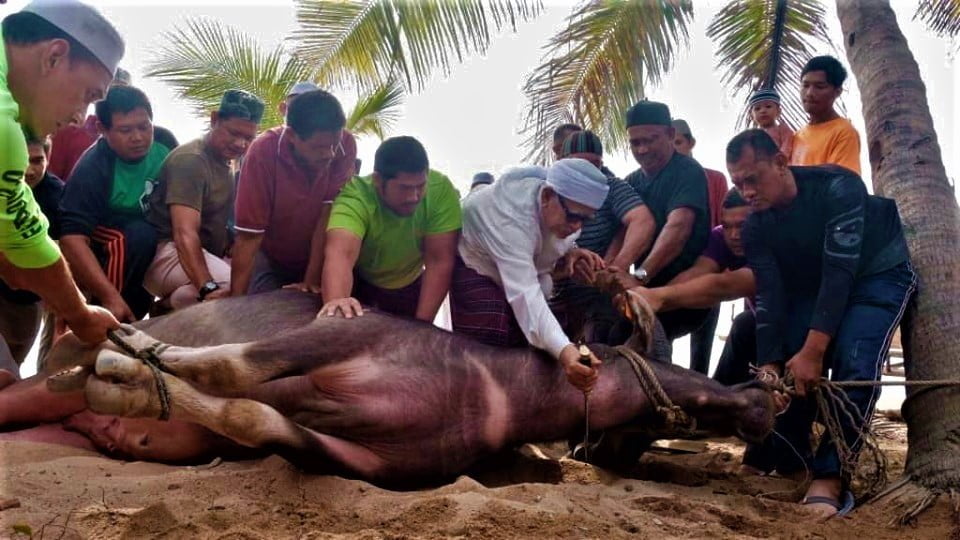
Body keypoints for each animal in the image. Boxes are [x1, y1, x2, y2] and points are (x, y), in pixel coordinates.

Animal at [0, 289, 777, 487]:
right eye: (625, 354)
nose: (762, 401)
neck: (486, 390)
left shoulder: (365, 458)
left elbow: (251, 416)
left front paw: (128, 390)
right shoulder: (341, 339)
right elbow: (233, 369)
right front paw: (130, 366)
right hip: (39, 386)